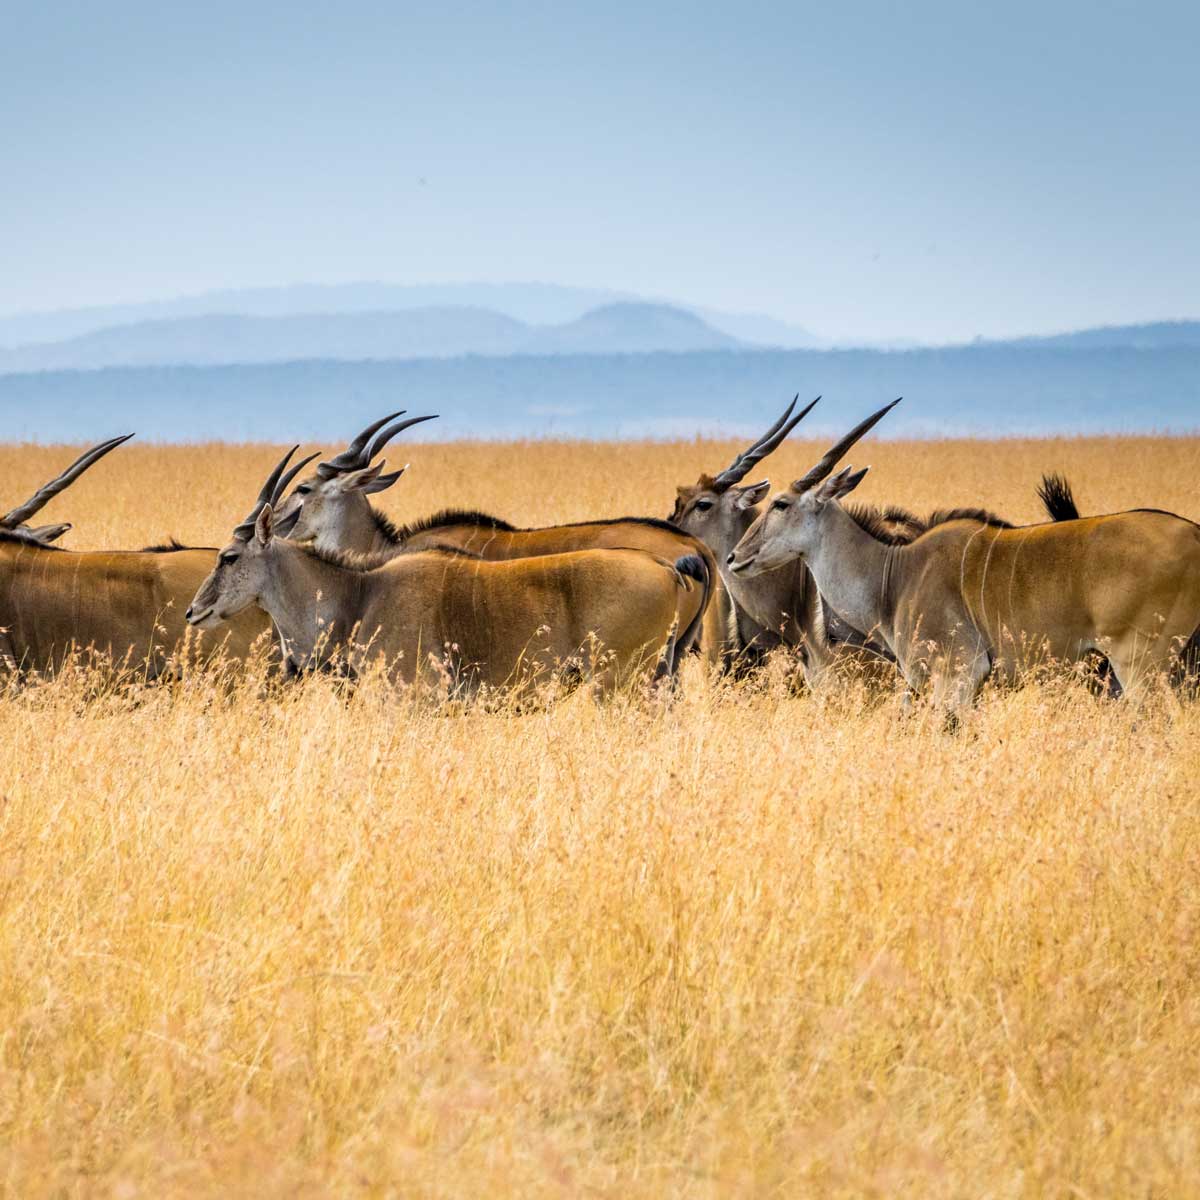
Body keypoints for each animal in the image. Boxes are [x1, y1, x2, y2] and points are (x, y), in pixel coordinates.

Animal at [724, 403, 1200, 715]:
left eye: (781, 504)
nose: (734, 557)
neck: (894, 574)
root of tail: (1194, 534)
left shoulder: (957, 674)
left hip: (1141, 665)